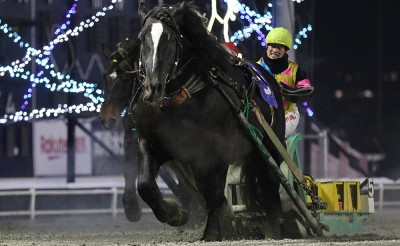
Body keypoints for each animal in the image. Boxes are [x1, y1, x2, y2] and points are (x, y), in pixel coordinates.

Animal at [136, 1, 286, 240]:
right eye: (142, 38)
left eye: (170, 37)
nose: (153, 87)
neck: (181, 101)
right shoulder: (155, 144)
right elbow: (145, 185)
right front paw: (175, 214)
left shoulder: (216, 153)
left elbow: (215, 196)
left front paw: (211, 233)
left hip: (269, 151)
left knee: (270, 195)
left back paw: (274, 233)